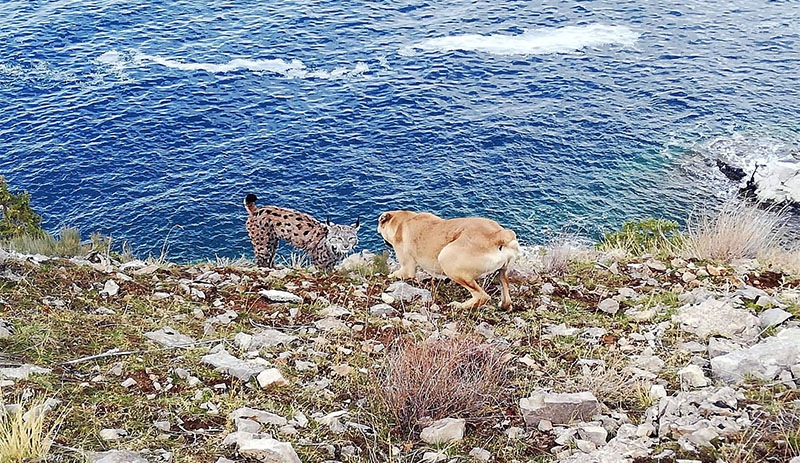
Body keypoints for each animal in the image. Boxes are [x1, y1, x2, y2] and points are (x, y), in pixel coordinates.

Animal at [378, 212, 520, 310]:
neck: (402, 220)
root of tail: (497, 235)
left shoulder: (407, 268)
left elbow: (398, 273)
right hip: (504, 272)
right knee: (505, 293)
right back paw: (504, 305)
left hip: (447, 260)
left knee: (481, 296)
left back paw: (459, 306)